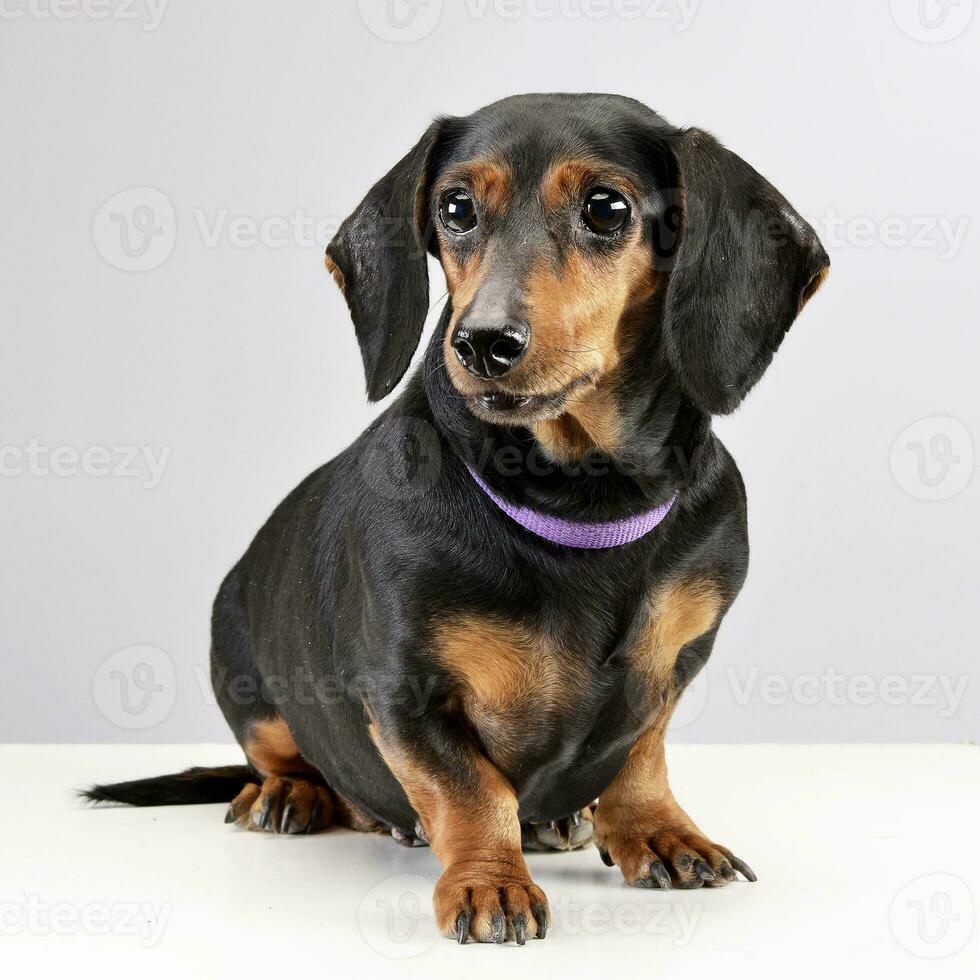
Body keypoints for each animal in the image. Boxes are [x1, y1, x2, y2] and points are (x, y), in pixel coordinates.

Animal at [88, 95, 832, 944]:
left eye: (606, 208)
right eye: (456, 207)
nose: (481, 342)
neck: (580, 501)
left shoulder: (676, 662)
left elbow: (642, 753)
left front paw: (657, 830)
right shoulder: (405, 693)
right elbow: (469, 790)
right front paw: (490, 882)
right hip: (246, 668)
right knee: (280, 754)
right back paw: (291, 794)